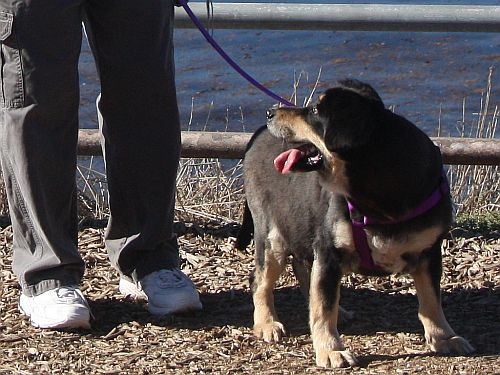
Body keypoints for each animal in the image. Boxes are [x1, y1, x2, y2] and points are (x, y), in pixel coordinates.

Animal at [236, 78, 474, 368]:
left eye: (314, 110)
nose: (270, 112)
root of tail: (257, 135)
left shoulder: (429, 252)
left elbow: (431, 301)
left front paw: (443, 337)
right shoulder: (328, 251)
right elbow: (323, 308)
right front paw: (330, 349)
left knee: (302, 268)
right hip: (273, 237)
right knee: (260, 280)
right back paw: (267, 323)